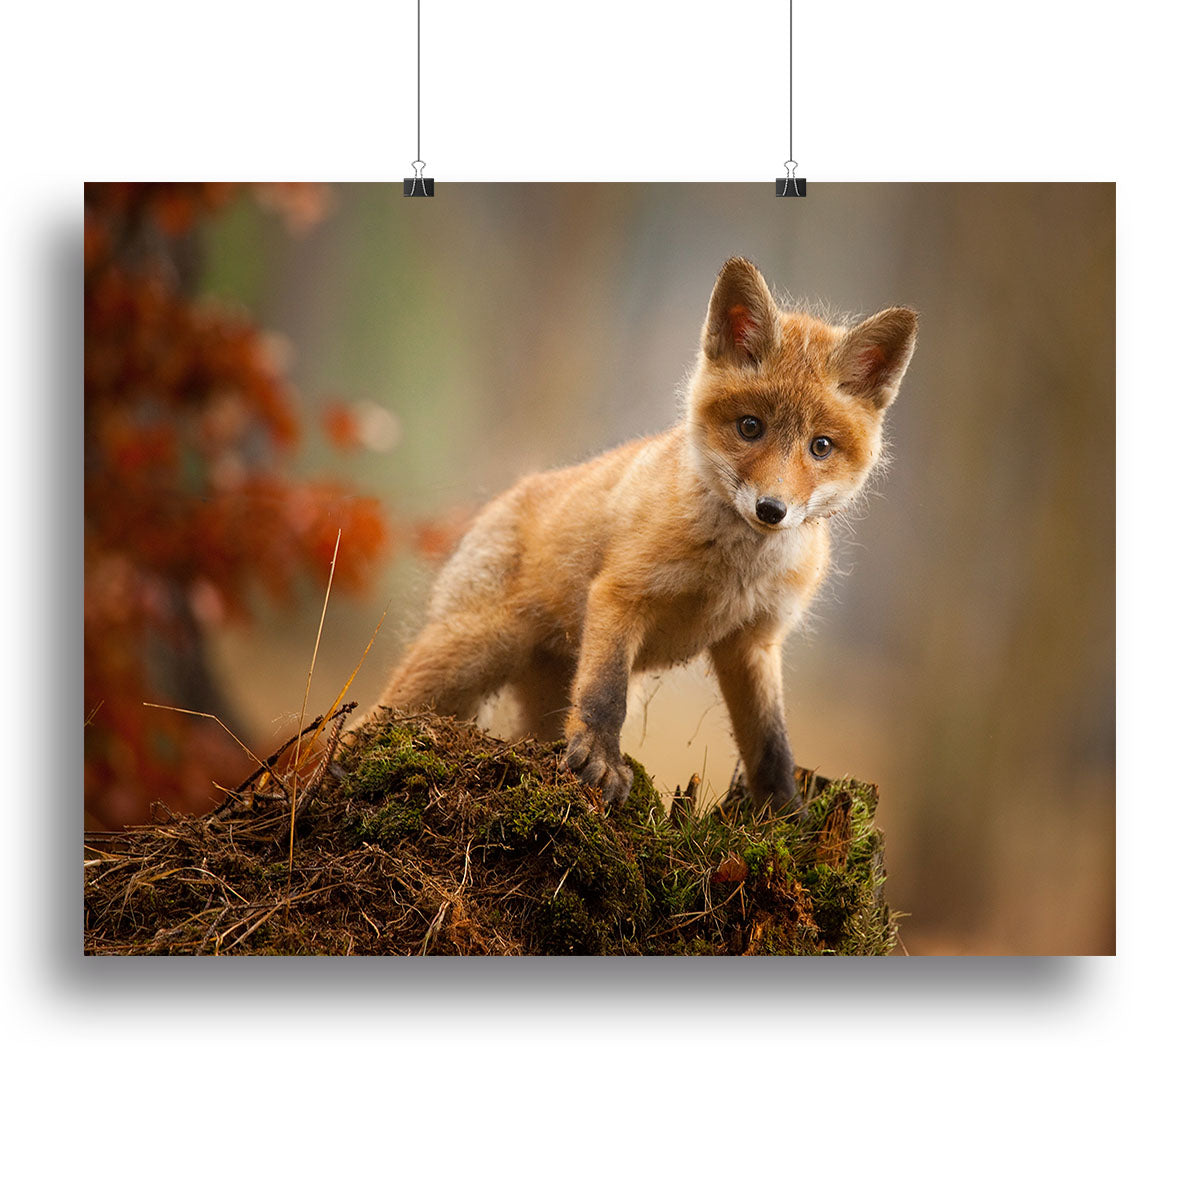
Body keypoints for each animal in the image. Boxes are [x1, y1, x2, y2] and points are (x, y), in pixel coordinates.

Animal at [374, 257, 917, 812]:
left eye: (820, 446)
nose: (771, 509)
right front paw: (600, 761)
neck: (734, 572)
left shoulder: (753, 641)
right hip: (467, 655)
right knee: (377, 714)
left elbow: (771, 742)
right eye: (750, 427)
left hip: (539, 694)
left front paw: (784, 812)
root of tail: (506, 496)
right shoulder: (621, 594)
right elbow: (605, 695)